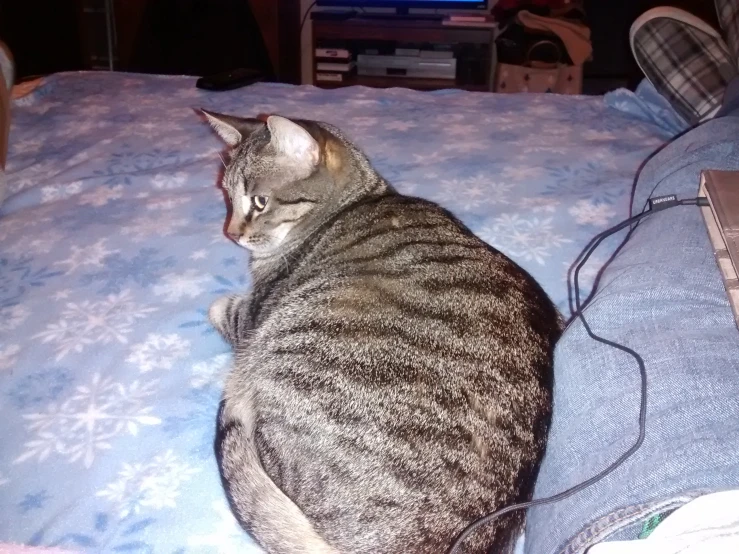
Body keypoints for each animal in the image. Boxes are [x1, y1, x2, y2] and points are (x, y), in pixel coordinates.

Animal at [202, 109, 560, 552]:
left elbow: (225, 309)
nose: (231, 233)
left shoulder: (255, 313)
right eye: (226, 196)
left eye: (259, 201)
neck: (354, 203)